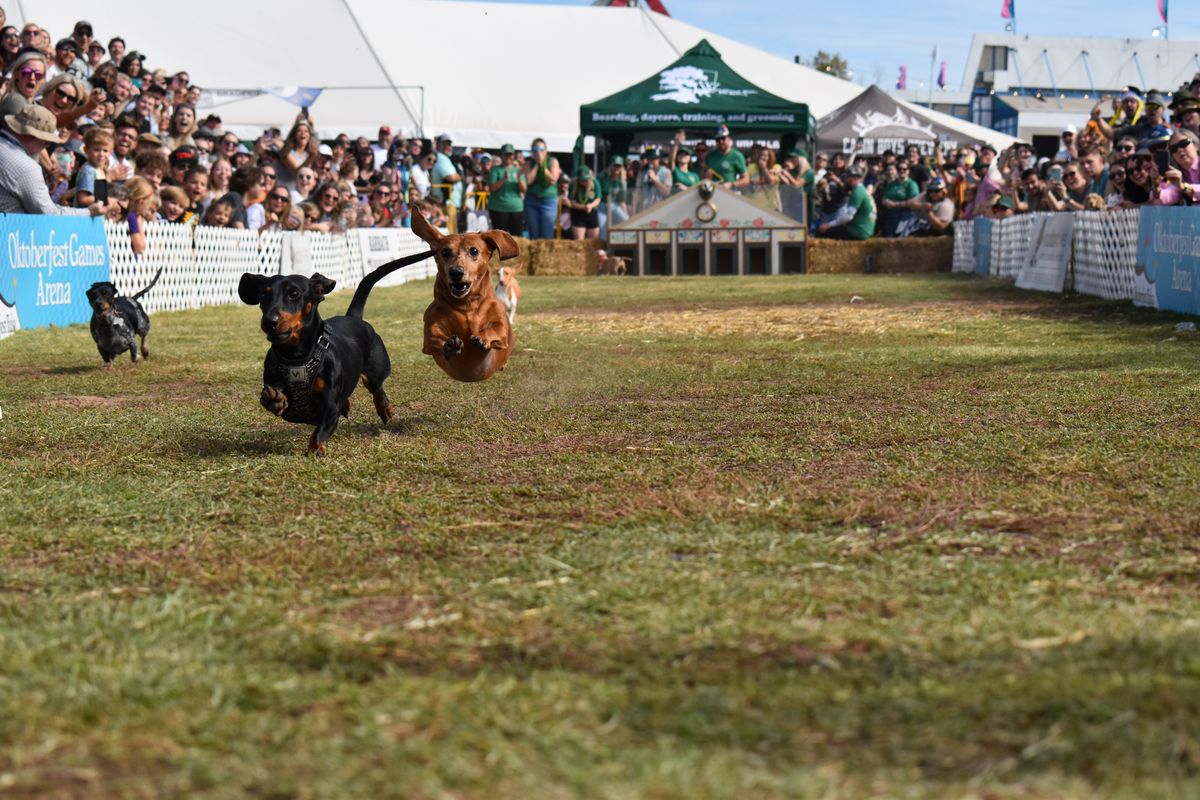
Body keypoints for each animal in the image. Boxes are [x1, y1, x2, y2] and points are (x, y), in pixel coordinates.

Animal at [410, 206, 518, 381]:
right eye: (445, 252)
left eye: (474, 251)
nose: (456, 272)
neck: (466, 305)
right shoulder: (430, 331)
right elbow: (433, 335)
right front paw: (449, 344)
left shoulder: (502, 327)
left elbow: (496, 329)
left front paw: (482, 338)